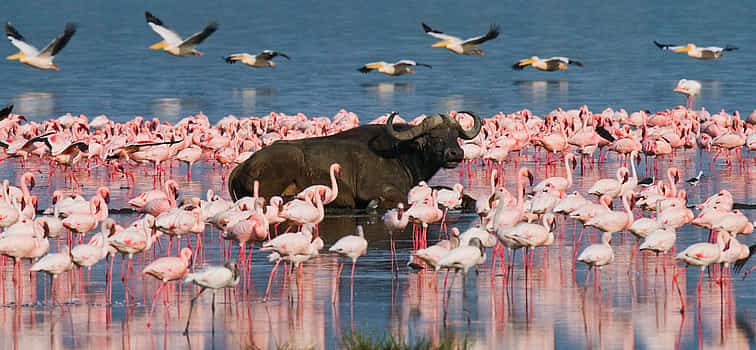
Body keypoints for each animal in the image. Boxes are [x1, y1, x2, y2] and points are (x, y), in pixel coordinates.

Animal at [227, 112, 482, 208]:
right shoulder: (377, 189)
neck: (401, 154)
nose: (456, 154)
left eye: (455, 136)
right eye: (435, 137)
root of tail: (243, 167)